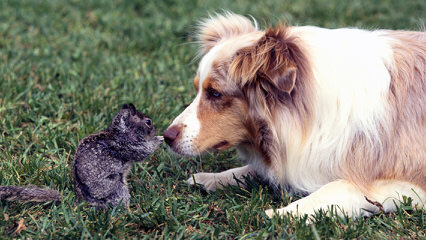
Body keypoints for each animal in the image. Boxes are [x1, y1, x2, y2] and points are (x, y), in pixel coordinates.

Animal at [0, 102, 164, 206]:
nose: (155, 131)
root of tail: (82, 200)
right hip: (116, 185)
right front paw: (159, 139)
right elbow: (144, 151)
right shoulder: (130, 146)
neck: (121, 131)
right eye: (148, 122)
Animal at [161, 12, 424, 219]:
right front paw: (211, 178)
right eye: (197, 89)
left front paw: (283, 214)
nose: (166, 137)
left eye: (215, 93)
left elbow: (340, 187)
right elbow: (253, 169)